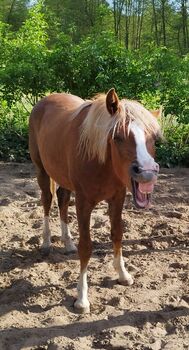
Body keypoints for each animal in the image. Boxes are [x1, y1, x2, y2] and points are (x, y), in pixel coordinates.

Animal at [28, 89, 162, 314]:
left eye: (153, 139)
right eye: (117, 137)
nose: (147, 173)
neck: (101, 161)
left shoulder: (117, 198)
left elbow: (117, 234)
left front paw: (123, 275)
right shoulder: (84, 202)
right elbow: (86, 246)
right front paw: (82, 299)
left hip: (63, 178)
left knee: (62, 201)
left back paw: (67, 243)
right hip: (42, 171)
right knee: (47, 201)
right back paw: (46, 242)